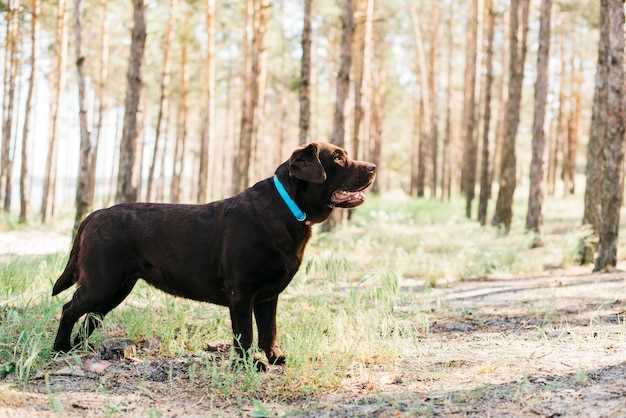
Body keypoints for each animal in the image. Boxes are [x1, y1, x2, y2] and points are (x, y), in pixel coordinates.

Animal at [51, 141, 372, 370]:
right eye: (338, 158)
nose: (373, 168)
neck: (288, 208)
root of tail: (94, 215)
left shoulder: (268, 296)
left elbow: (269, 330)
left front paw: (274, 357)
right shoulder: (241, 293)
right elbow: (246, 334)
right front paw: (249, 365)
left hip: (117, 288)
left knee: (91, 317)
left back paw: (79, 348)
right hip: (102, 282)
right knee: (69, 308)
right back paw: (61, 349)